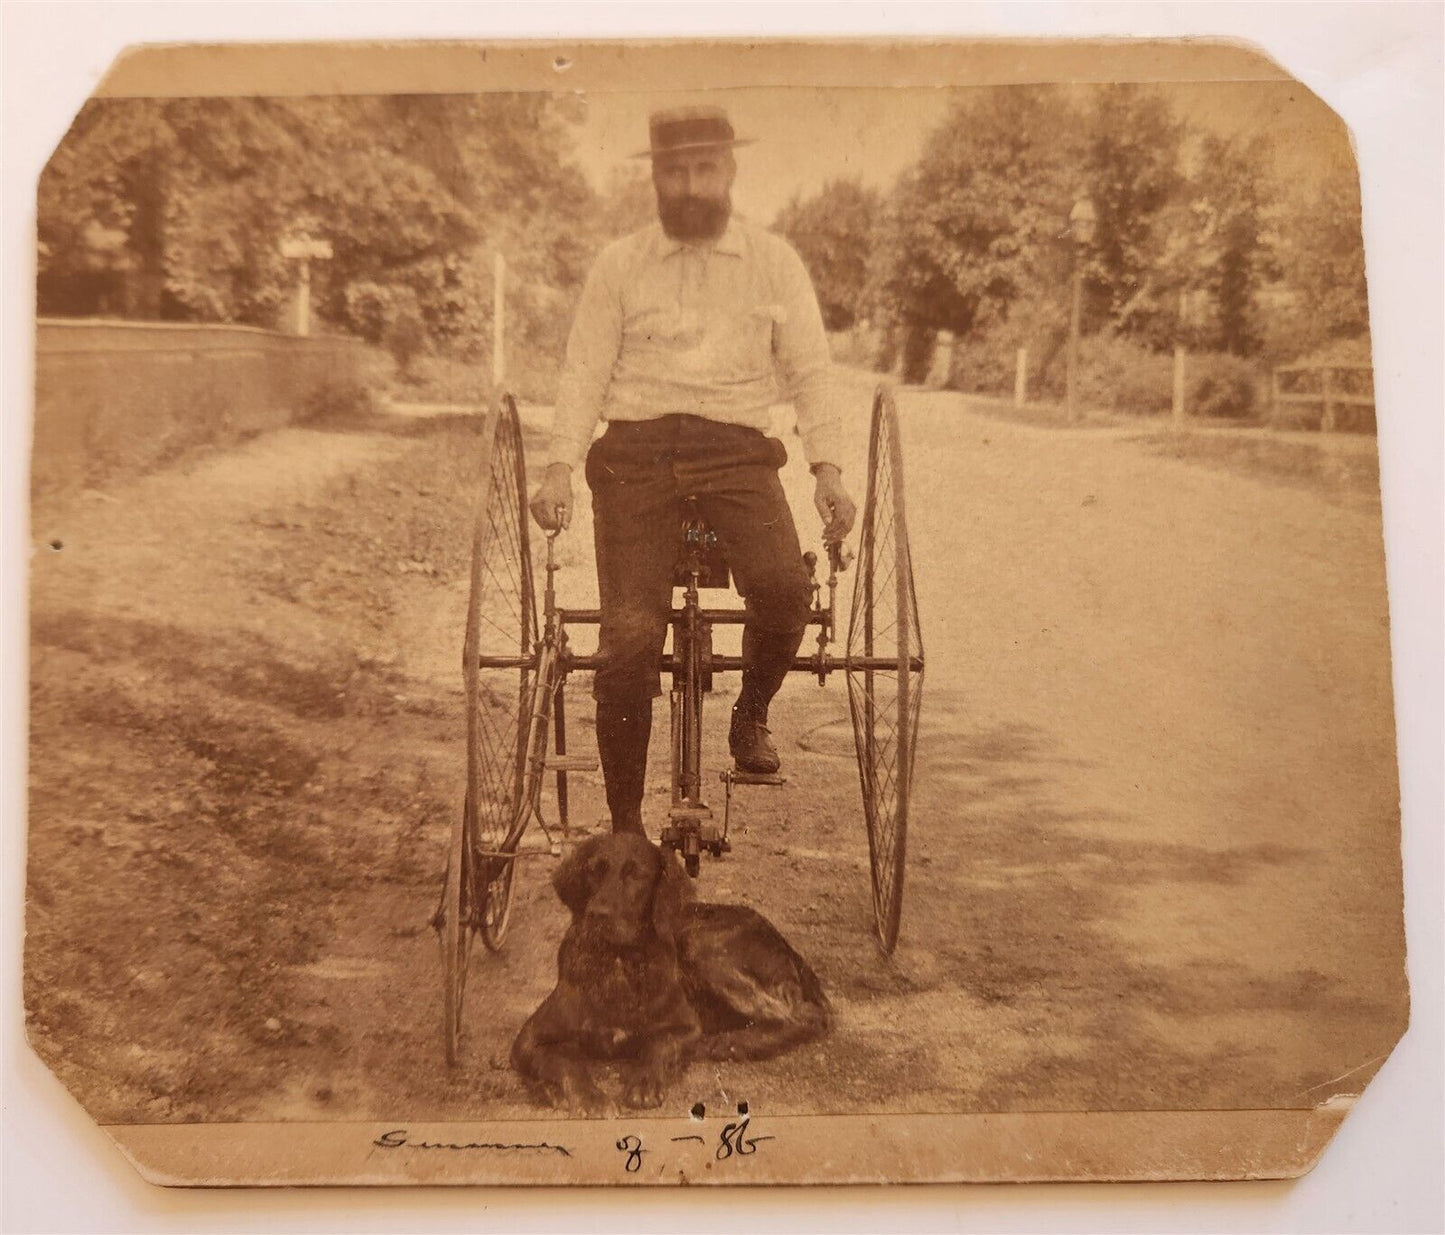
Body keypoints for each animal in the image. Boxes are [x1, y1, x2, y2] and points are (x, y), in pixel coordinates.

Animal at [511, 837, 832, 1115]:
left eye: (637, 875)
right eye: (593, 871)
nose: (597, 915)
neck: (618, 963)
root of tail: (784, 943)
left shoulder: (686, 1026)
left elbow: (658, 1045)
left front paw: (644, 1083)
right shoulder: (527, 1040)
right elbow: (566, 1062)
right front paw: (589, 1097)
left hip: (699, 943)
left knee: (804, 1015)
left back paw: (733, 1043)